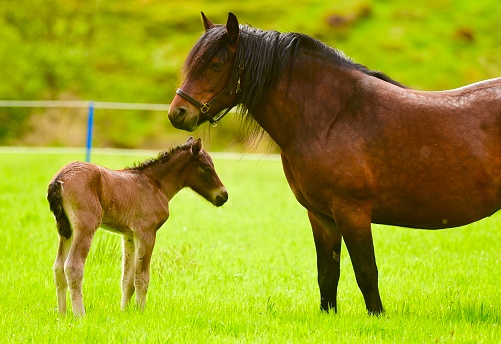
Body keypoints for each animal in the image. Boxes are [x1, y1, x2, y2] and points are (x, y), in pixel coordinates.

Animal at [47, 137, 227, 314]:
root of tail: (60, 177)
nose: (223, 195)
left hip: (66, 231)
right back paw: (80, 315)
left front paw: (124, 312)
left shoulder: (129, 236)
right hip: (85, 227)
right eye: (206, 168)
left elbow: (127, 279)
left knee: (58, 267)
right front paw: (141, 311)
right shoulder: (146, 233)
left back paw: (62, 314)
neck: (156, 185)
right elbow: (142, 276)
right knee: (73, 266)